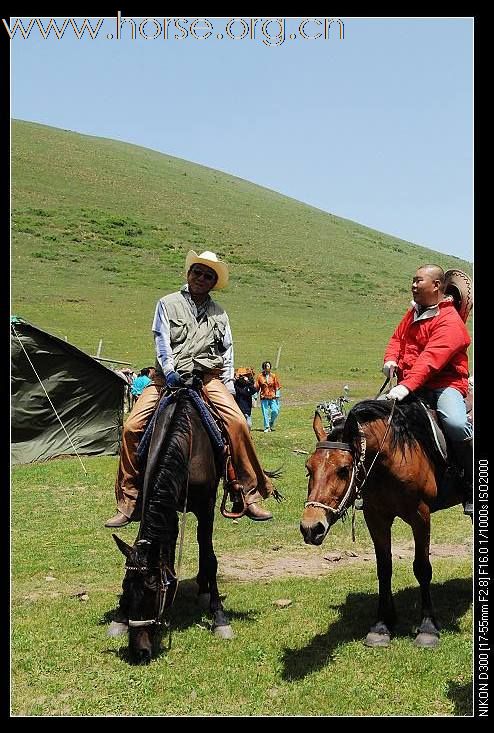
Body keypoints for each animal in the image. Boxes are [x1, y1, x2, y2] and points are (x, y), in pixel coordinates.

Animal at [109, 388, 233, 664]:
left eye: (152, 592)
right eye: (124, 589)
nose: (139, 652)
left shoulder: (207, 505)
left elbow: (209, 555)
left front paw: (219, 616)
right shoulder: (168, 505)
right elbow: (169, 548)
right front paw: (120, 619)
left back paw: (204, 588)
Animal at [298, 398, 466, 644]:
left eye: (343, 470)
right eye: (309, 468)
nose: (311, 528)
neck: (391, 461)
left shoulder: (420, 516)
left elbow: (422, 568)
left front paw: (427, 627)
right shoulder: (375, 517)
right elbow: (384, 567)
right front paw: (383, 624)